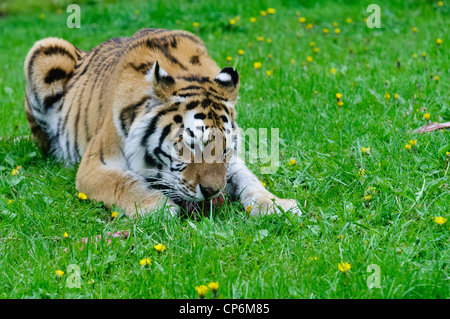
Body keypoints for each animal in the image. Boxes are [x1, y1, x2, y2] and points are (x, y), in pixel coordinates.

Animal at [22, 27, 300, 219]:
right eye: (190, 146)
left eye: (225, 151)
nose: (212, 192)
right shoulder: (93, 166)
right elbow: (123, 182)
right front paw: (158, 206)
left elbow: (250, 180)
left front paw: (277, 205)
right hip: (46, 51)